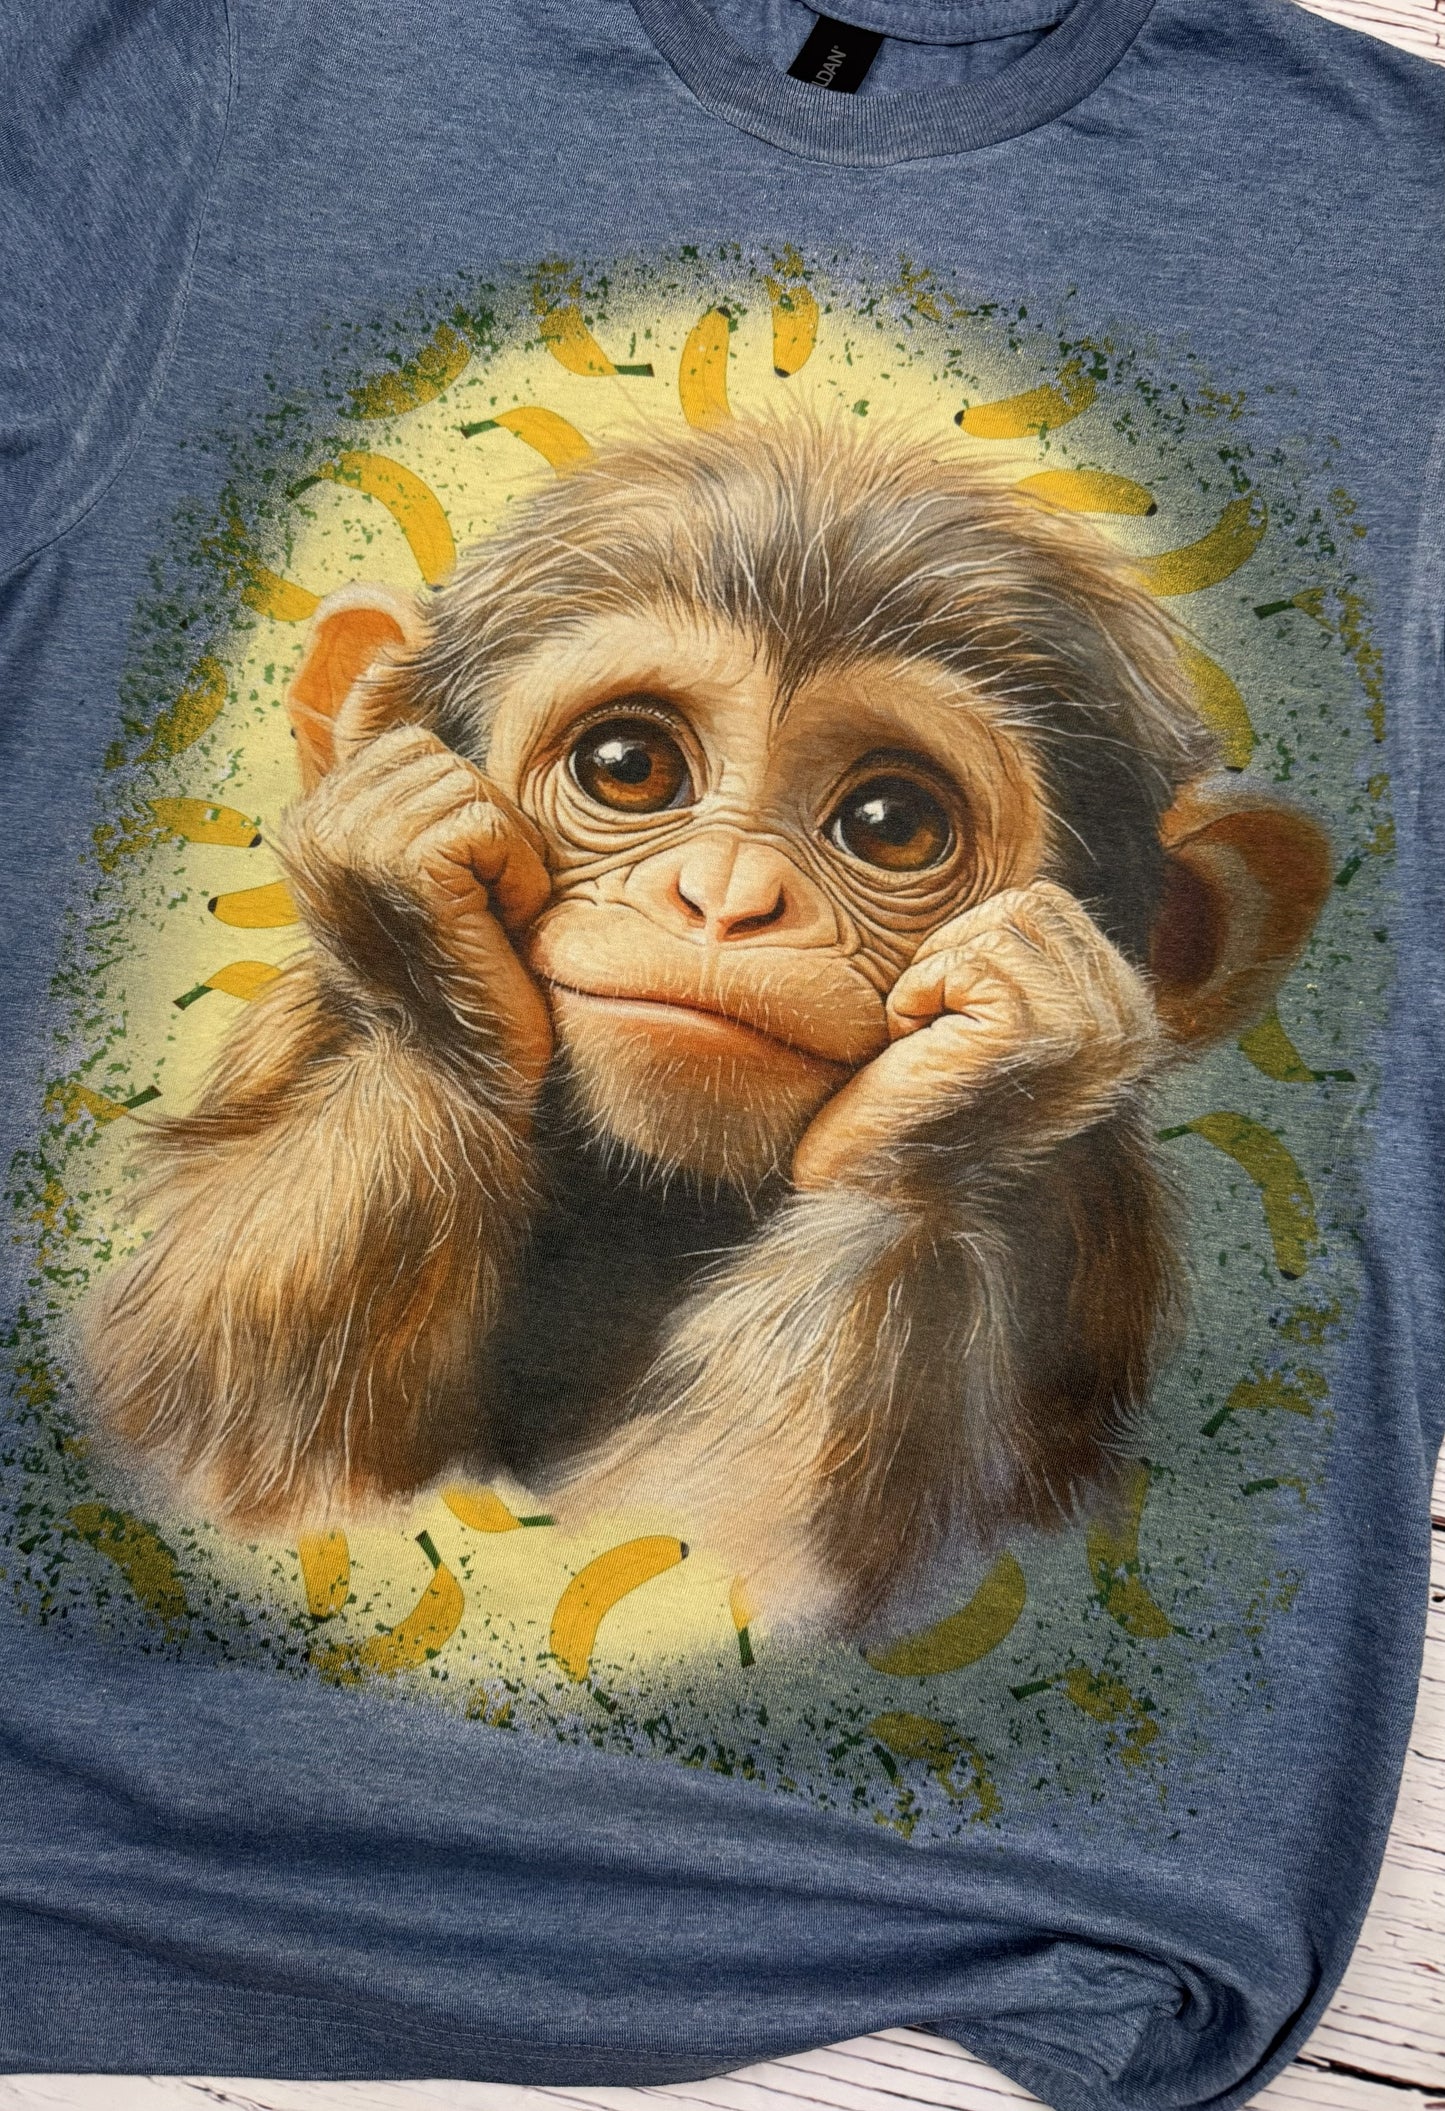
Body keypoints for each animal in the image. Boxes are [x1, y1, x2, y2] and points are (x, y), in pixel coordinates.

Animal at [83, 412, 1332, 1636]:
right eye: (629, 765)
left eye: (889, 822)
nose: (726, 896)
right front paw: (429, 969)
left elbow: (708, 1536)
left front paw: (959, 1107)